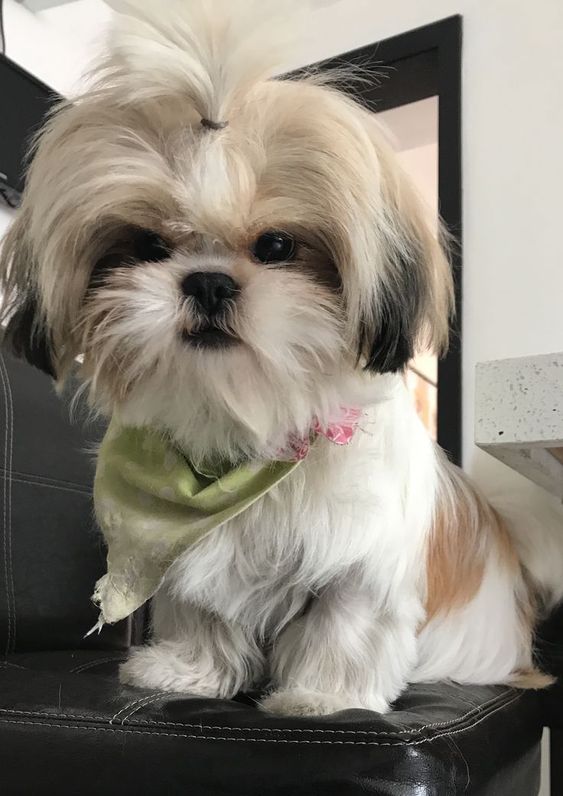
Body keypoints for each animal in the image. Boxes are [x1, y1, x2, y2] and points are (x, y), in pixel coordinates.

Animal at [1, 0, 563, 716]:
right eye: (149, 245)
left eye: (276, 246)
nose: (209, 281)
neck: (252, 429)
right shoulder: (198, 560)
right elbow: (204, 614)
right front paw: (187, 672)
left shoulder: (361, 564)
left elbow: (344, 624)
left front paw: (322, 696)